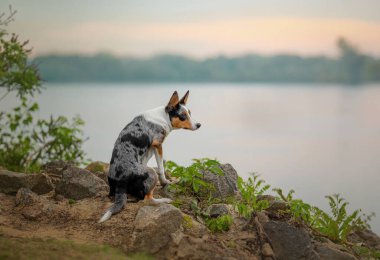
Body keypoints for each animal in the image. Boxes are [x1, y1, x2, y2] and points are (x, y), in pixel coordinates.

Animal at [98, 90, 202, 222]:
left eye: (190, 113)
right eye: (183, 116)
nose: (199, 125)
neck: (163, 117)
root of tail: (121, 181)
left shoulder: (149, 151)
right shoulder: (158, 145)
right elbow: (161, 169)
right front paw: (166, 182)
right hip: (151, 172)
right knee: (147, 199)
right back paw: (165, 200)